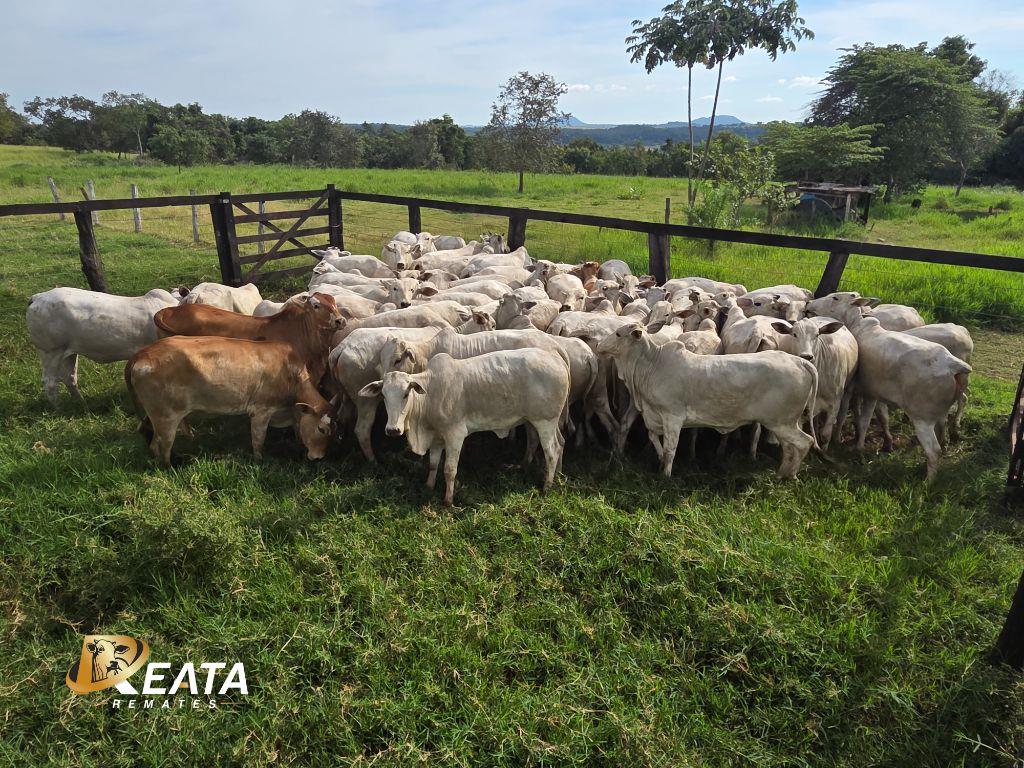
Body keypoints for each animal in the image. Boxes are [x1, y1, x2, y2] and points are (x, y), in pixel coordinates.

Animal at [26, 286, 183, 405]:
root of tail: (37, 297)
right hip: (51, 352)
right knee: (50, 383)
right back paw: (58, 408)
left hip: (68, 353)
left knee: (69, 378)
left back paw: (82, 403)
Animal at [126, 337, 335, 465]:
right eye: (321, 429)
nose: (319, 457)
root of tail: (143, 353)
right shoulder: (262, 410)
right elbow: (258, 440)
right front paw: (259, 461)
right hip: (165, 418)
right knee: (161, 446)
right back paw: (169, 468)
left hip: (158, 414)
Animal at [359, 349, 570, 505]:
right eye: (383, 395)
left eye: (405, 394)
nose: (393, 430)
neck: (431, 393)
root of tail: (558, 359)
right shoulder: (437, 436)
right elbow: (433, 464)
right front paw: (428, 486)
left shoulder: (455, 434)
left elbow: (449, 469)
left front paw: (448, 501)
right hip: (538, 421)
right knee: (558, 443)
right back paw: (554, 474)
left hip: (545, 421)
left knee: (552, 451)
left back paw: (547, 486)